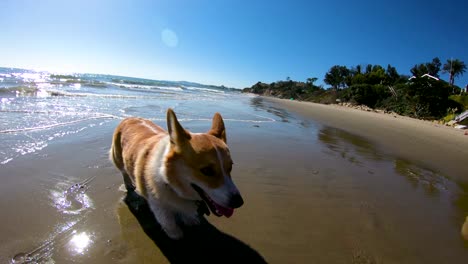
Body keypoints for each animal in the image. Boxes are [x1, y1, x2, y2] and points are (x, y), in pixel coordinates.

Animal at [108, 109, 243, 239]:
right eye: (207, 170)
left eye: (230, 167)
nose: (239, 202)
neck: (169, 181)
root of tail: (128, 118)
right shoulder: (158, 205)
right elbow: (168, 222)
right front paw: (175, 234)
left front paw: (190, 220)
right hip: (118, 159)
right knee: (124, 172)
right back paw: (129, 185)